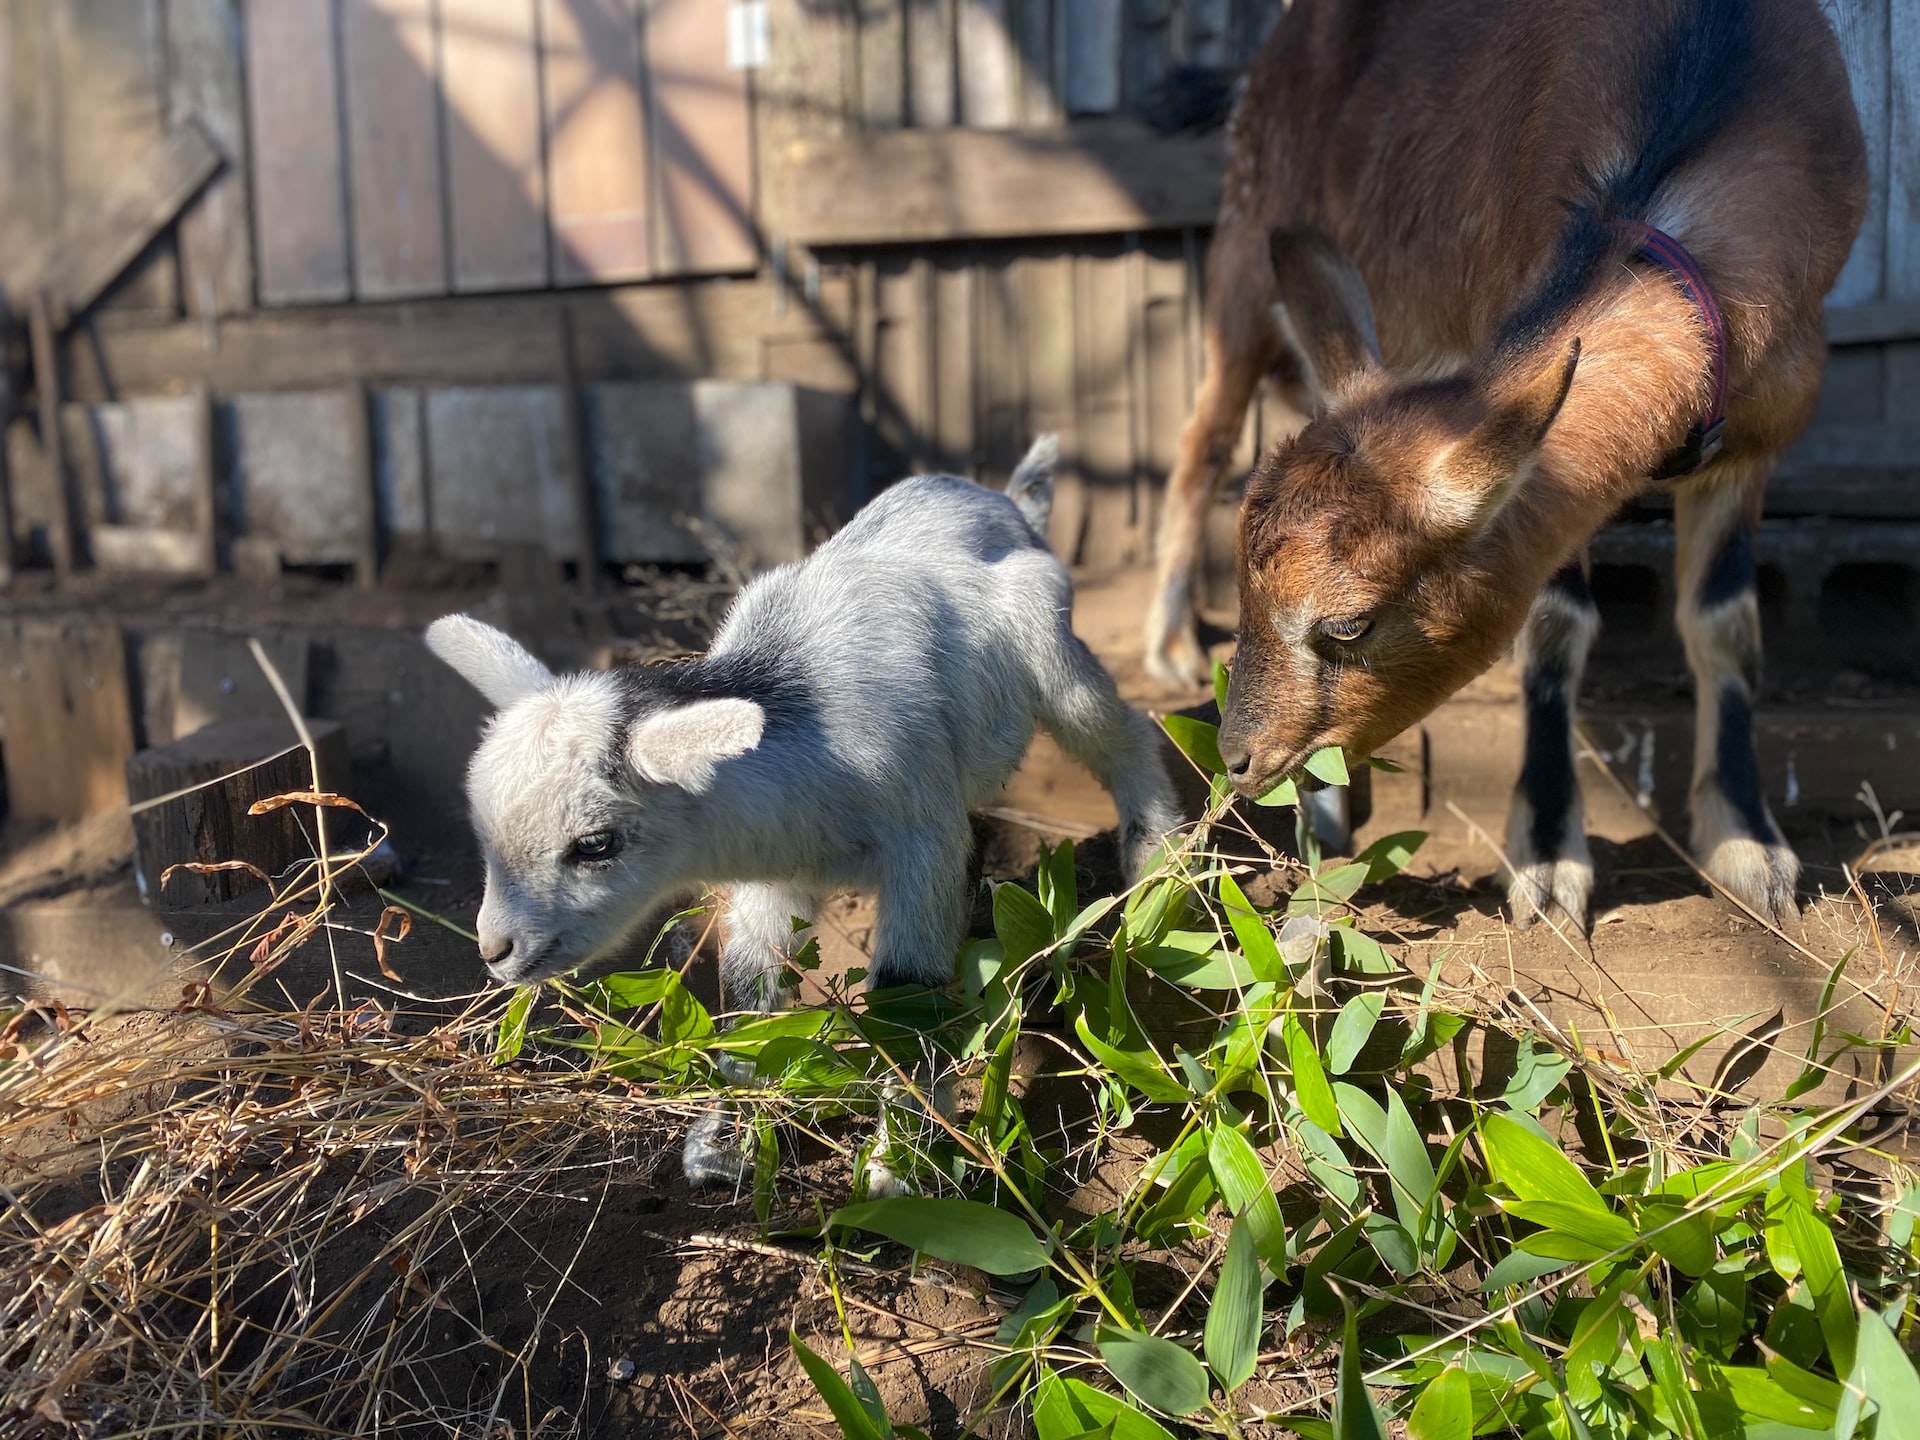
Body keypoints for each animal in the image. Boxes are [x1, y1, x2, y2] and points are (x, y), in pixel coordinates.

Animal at [428, 443, 1175, 1198]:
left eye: (594, 844)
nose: (496, 950)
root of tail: (1001, 501)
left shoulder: (923, 843)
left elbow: (906, 993)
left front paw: (898, 1169)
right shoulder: (775, 872)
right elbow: (749, 989)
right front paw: (724, 1146)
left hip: (1053, 655)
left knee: (1127, 733)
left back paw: (1161, 858)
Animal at [1144, 0, 1866, 929]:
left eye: (1348, 626)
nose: (1237, 758)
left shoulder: (1759, 429)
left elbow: (1725, 623)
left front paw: (1749, 846)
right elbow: (1557, 623)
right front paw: (1548, 861)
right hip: (1243, 246)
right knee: (1201, 439)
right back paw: (1182, 661)